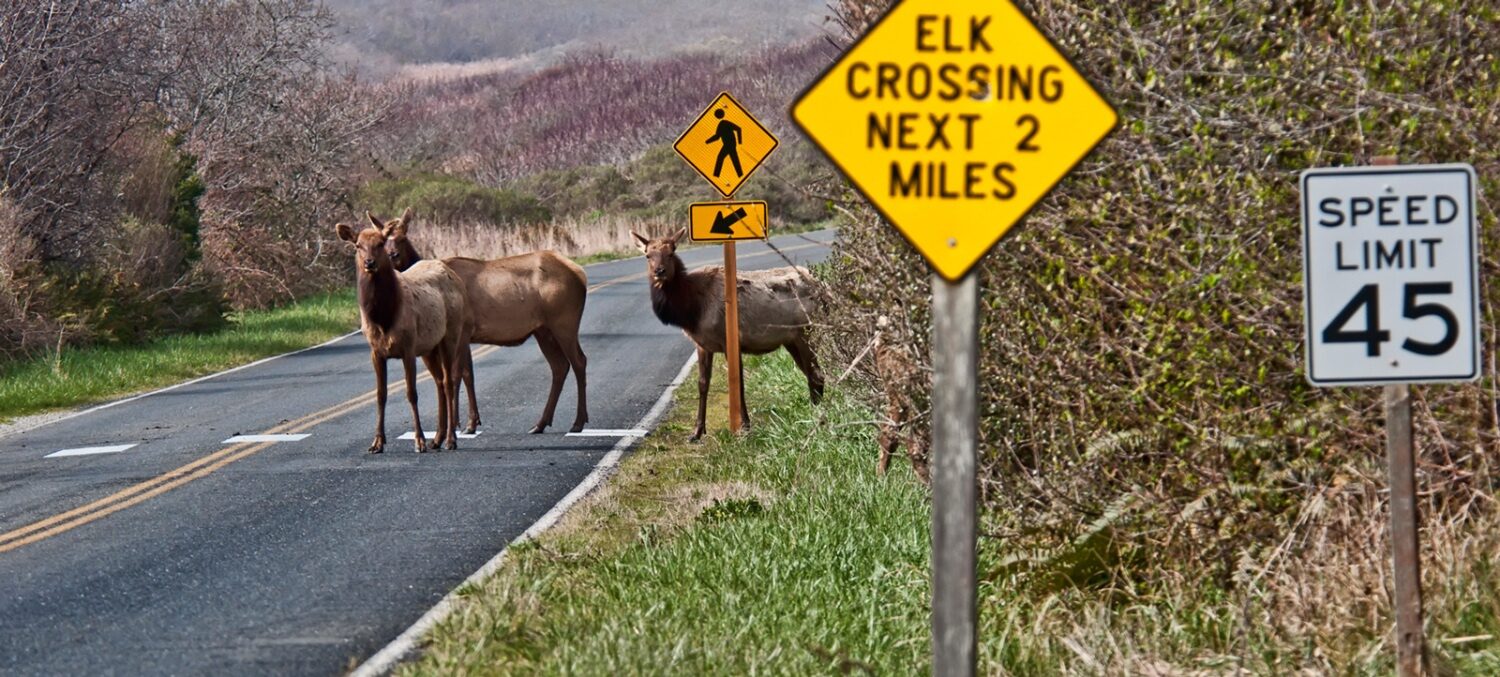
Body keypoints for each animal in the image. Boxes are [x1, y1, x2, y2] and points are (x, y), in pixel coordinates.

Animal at [340, 213, 468, 456]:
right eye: (358, 245)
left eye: (380, 243)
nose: (369, 263)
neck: (383, 318)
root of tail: (453, 274)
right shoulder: (376, 352)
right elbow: (380, 395)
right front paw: (377, 442)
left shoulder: (408, 348)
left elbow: (411, 393)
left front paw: (419, 441)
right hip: (429, 348)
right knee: (439, 381)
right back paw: (437, 438)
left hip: (450, 334)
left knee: (448, 381)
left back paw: (450, 439)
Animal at [381, 210, 591, 435]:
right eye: (383, 240)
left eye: (403, 238)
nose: (392, 256)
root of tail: (580, 273)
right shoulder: (466, 336)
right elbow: (468, 374)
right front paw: (471, 422)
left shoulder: (463, 331)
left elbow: (455, 375)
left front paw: (457, 424)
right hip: (543, 330)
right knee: (559, 366)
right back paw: (541, 423)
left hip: (564, 323)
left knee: (579, 361)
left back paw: (578, 421)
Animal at [630, 226, 828, 441]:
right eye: (648, 255)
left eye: (671, 252)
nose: (659, 271)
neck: (691, 310)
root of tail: (823, 288)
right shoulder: (702, 344)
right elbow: (703, 384)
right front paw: (697, 432)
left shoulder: (729, 340)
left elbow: (737, 382)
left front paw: (745, 427)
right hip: (791, 340)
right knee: (813, 373)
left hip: (806, 332)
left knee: (816, 374)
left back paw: (816, 416)